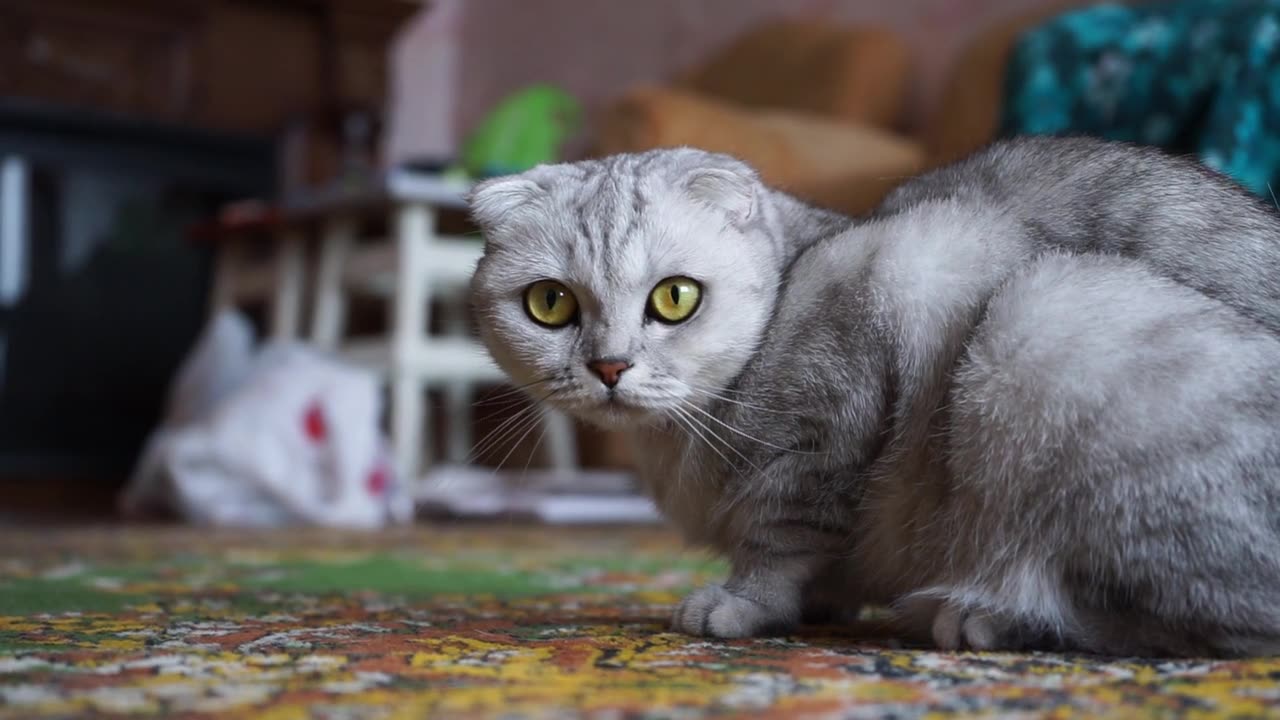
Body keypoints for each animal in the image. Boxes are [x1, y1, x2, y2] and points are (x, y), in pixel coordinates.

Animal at [465, 135, 1280, 655]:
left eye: (674, 298)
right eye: (549, 304)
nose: (609, 366)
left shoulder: (834, 408)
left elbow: (780, 541)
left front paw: (742, 605)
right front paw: (821, 602)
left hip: (1044, 318)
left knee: (1212, 628)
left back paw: (982, 615)